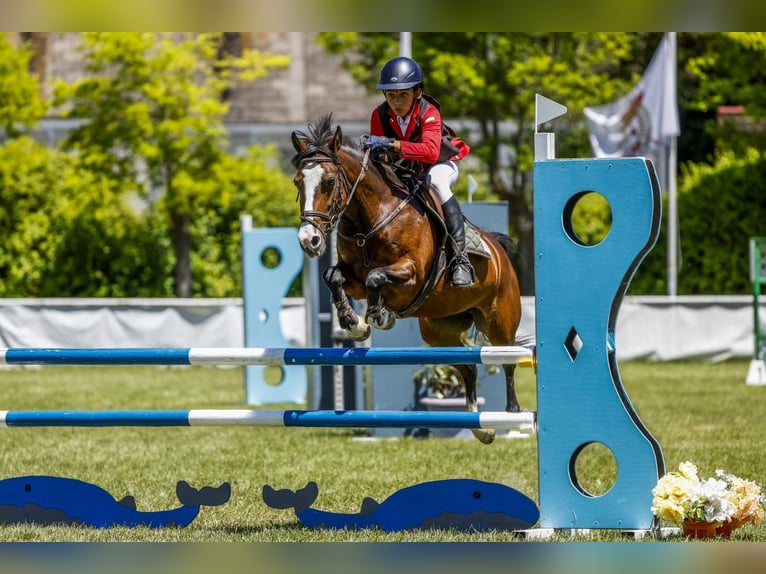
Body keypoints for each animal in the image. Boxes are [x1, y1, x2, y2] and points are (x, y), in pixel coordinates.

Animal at [292, 113, 524, 446]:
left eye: (329, 182)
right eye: (298, 182)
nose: (308, 240)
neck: (373, 217)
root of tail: (499, 252)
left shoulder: (411, 275)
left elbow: (376, 278)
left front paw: (378, 316)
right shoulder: (352, 278)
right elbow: (333, 276)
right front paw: (354, 323)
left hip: (500, 321)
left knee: (507, 361)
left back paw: (512, 415)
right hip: (439, 332)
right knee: (468, 368)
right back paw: (481, 427)